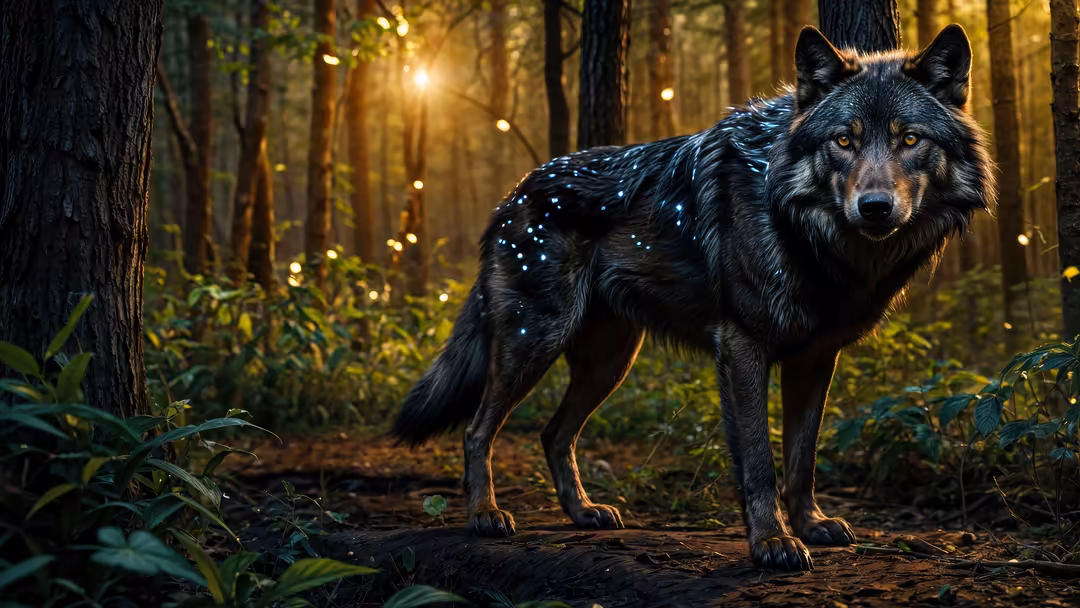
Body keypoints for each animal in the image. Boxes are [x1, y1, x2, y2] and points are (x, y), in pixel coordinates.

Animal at [391, 24, 993, 572]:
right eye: (843, 140)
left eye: (909, 139)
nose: (874, 207)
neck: (807, 235)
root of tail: (512, 193)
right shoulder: (743, 347)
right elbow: (759, 463)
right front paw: (772, 543)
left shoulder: (816, 358)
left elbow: (802, 459)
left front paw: (811, 525)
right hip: (533, 343)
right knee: (478, 429)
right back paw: (484, 515)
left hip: (610, 363)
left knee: (552, 433)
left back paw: (583, 513)